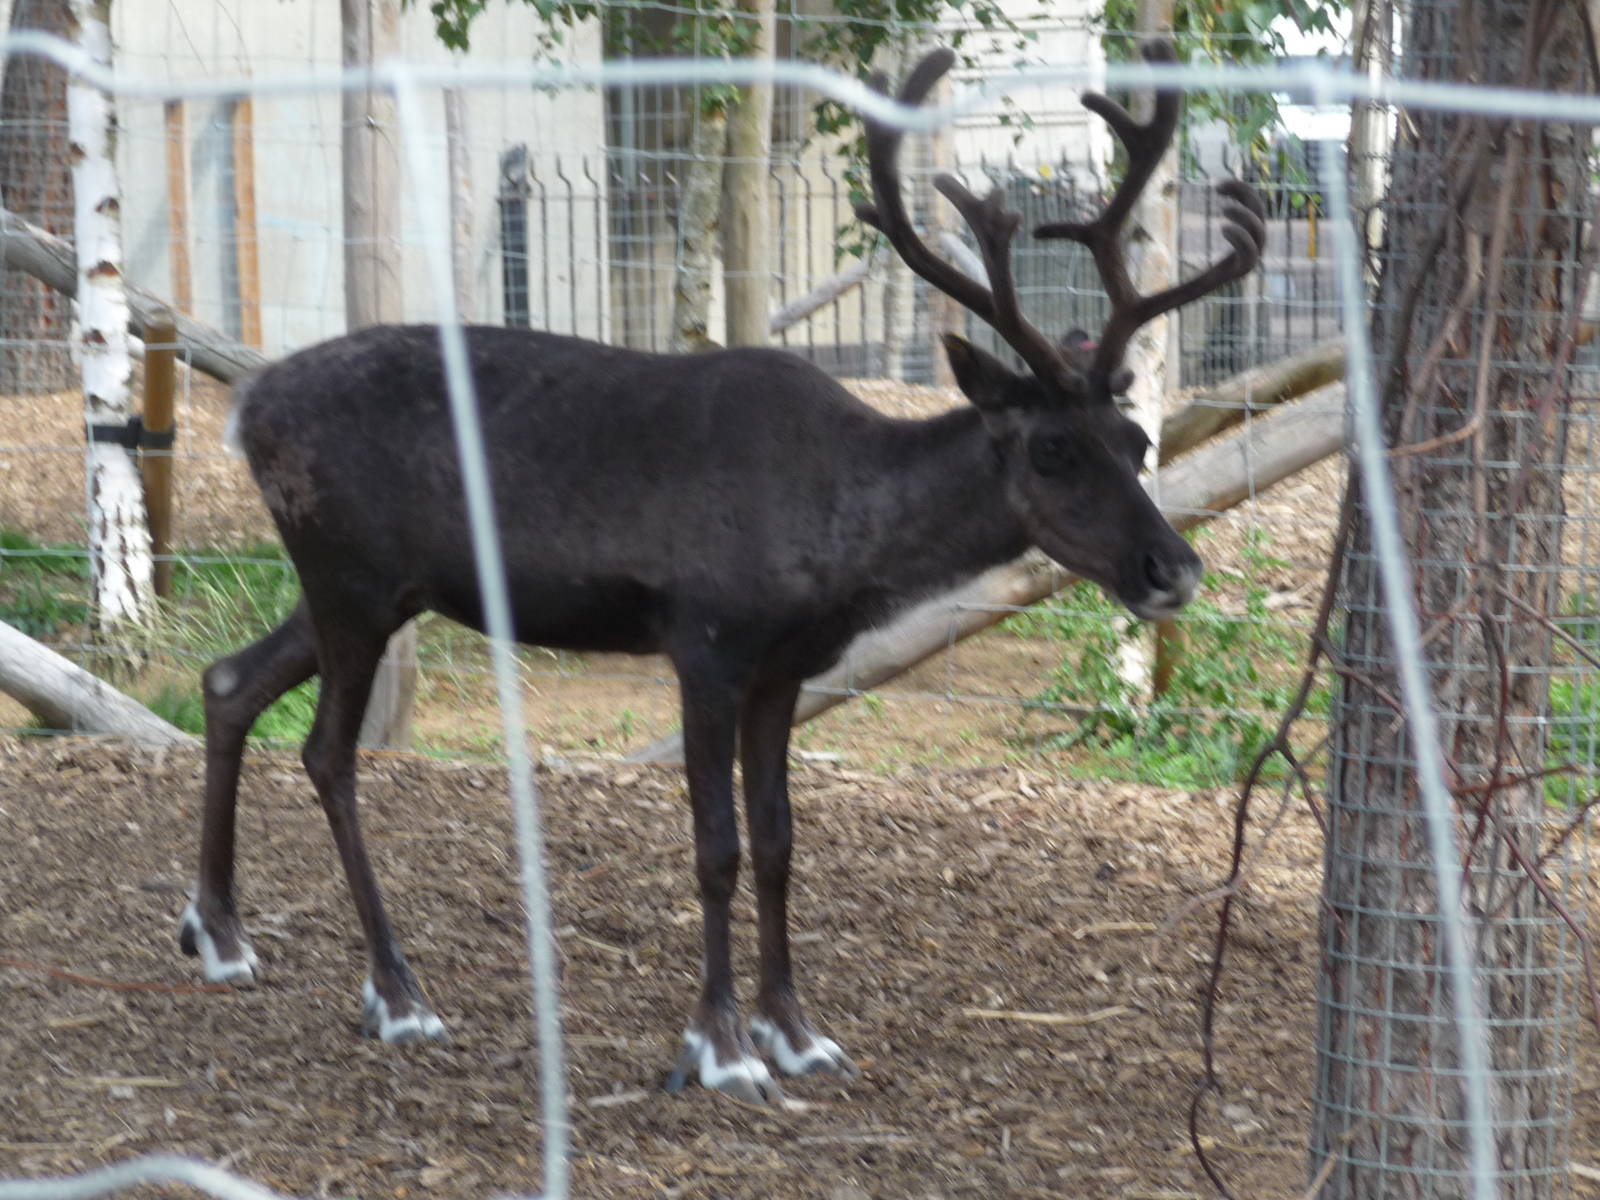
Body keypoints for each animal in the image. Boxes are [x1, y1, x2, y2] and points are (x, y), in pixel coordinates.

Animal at [179, 40, 1265, 1104]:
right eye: (1050, 449)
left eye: (1133, 439)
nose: (1172, 566)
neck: (845, 537)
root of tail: (248, 408)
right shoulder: (703, 645)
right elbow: (717, 847)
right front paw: (720, 1044)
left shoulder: (785, 668)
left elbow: (780, 841)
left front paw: (798, 1034)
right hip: (353, 580)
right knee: (326, 752)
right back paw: (397, 995)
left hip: (364, 587)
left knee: (229, 680)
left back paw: (219, 935)